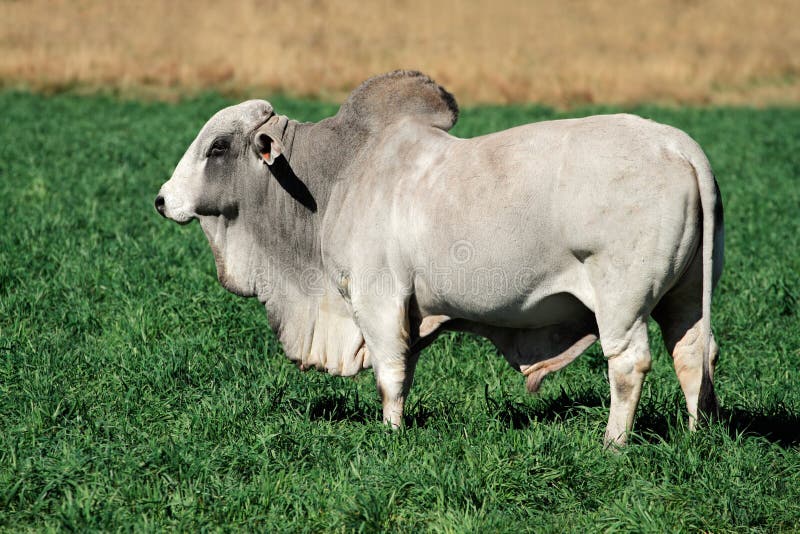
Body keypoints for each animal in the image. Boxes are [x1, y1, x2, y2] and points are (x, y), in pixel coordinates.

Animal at [155, 70, 724, 446]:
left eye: (218, 147)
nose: (162, 199)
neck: (335, 176)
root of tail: (679, 146)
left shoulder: (377, 298)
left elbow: (389, 373)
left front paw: (390, 436)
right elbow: (405, 368)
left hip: (621, 300)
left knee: (628, 363)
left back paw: (613, 444)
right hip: (686, 295)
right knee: (695, 352)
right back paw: (697, 435)